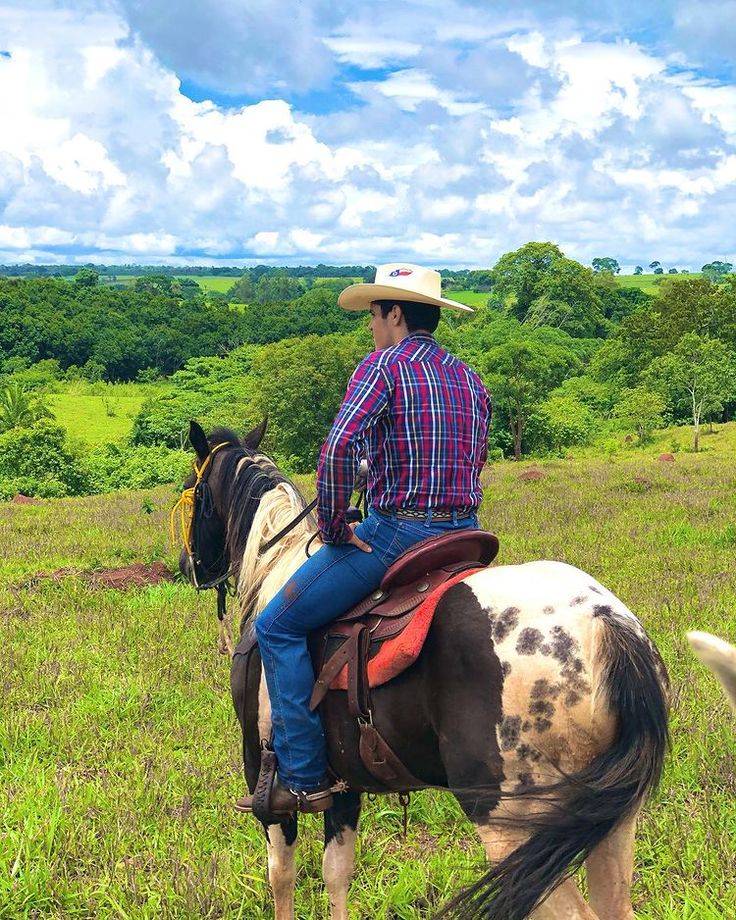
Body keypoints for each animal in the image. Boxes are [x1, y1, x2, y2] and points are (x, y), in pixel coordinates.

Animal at [180, 418, 672, 920]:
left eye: (190, 492)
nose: (187, 566)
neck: (274, 574)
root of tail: (604, 625)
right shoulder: (342, 781)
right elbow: (337, 872)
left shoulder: (265, 777)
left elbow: (282, 874)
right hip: (610, 818)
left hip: (514, 824)